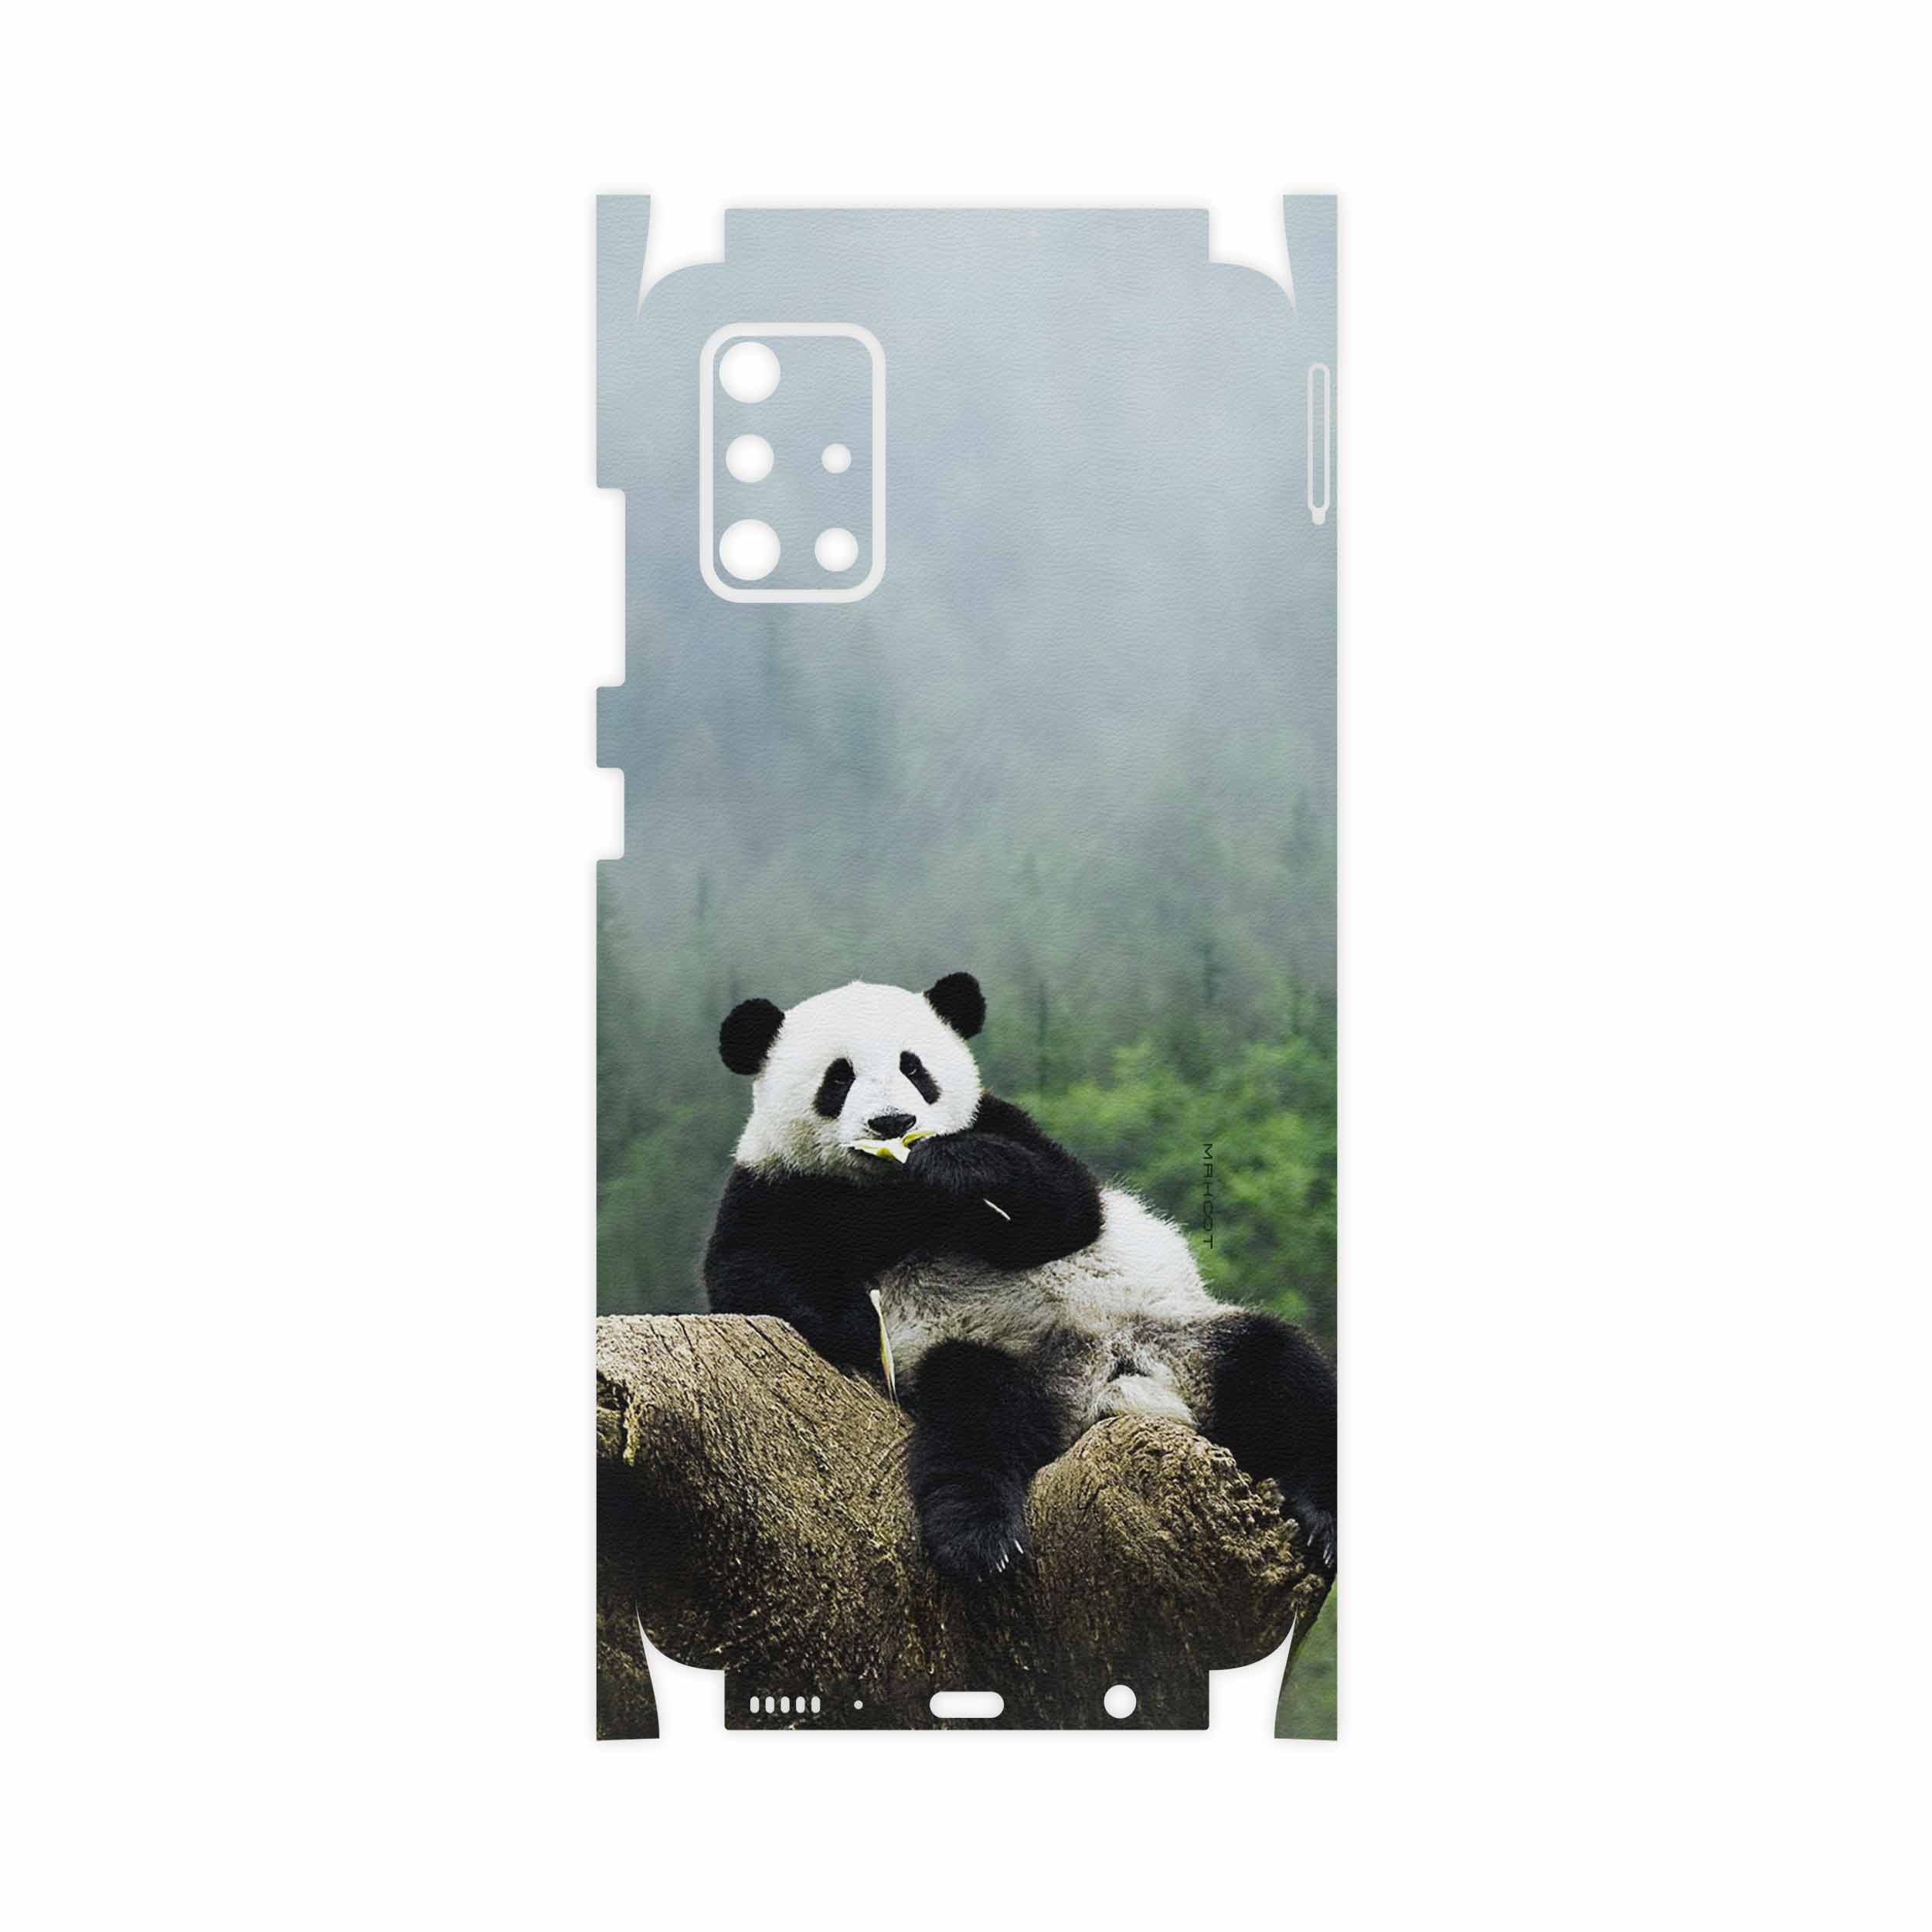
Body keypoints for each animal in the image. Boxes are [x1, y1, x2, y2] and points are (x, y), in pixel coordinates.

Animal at [704, 972, 1337, 1583]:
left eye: (915, 1068)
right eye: (839, 1078)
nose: (893, 1122)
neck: (889, 1190)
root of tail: (1099, 1389)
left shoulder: (1002, 1123)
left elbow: (1067, 1208)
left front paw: (954, 1167)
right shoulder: (776, 1185)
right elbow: (747, 1273)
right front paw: (861, 1323)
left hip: (1179, 1336)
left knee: (1282, 1372)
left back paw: (1322, 1516)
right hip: (988, 1355)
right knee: (974, 1420)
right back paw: (979, 1539)